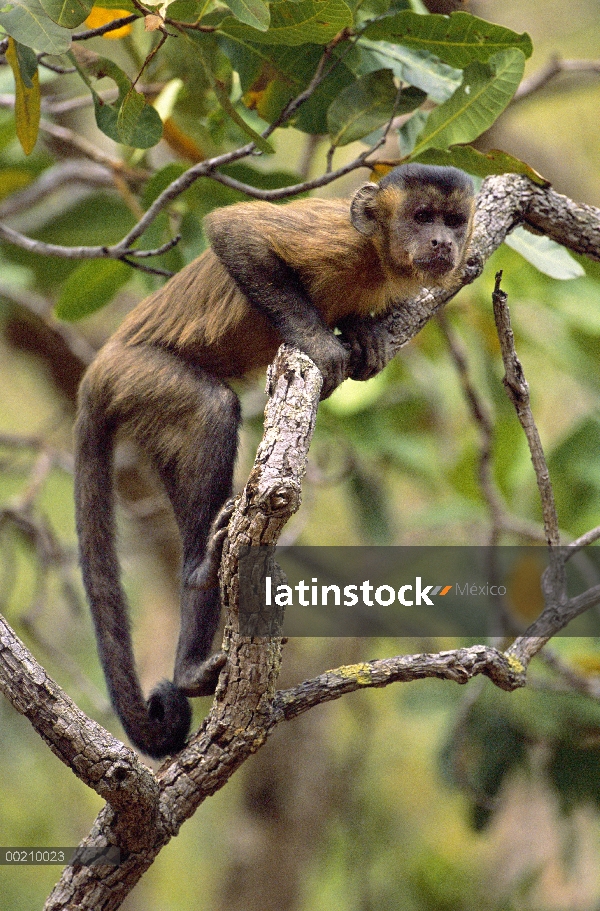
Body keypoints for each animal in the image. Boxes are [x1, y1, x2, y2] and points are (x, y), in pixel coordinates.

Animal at [74, 162, 474, 756]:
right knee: (211, 409)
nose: (443, 243)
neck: (378, 256)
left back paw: (192, 654)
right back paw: (201, 573)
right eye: (423, 217)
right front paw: (323, 344)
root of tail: (96, 374)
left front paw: (364, 334)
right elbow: (236, 232)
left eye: (453, 220)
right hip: (137, 376)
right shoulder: (337, 237)